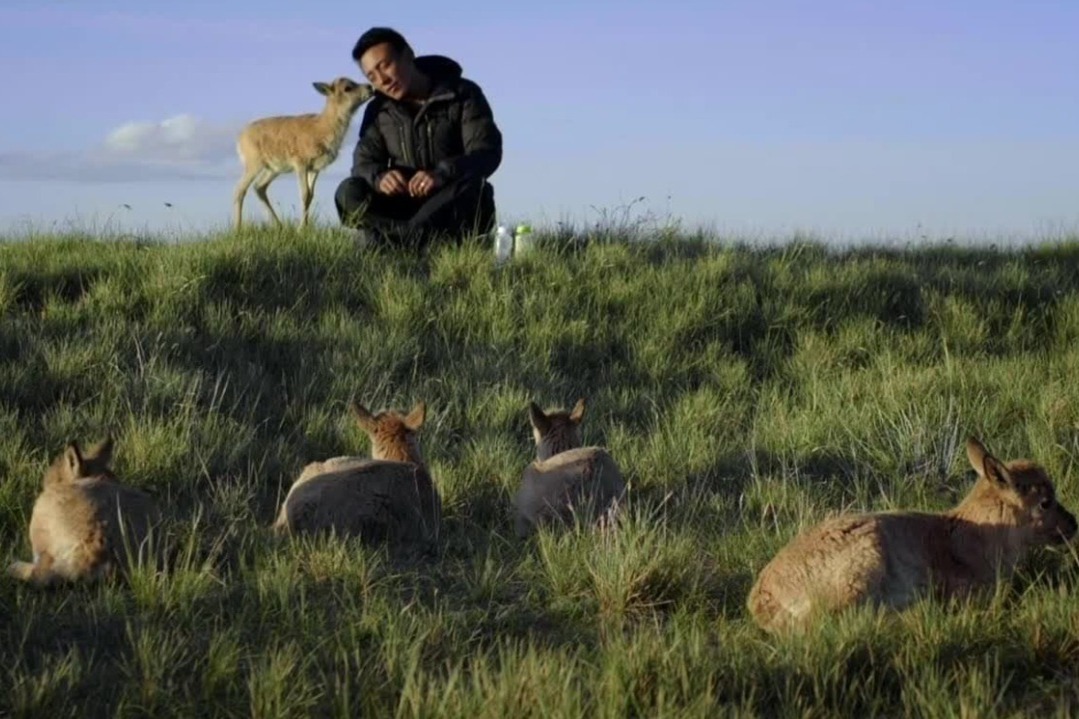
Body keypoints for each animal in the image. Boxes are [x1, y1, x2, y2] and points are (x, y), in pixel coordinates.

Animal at [231, 76, 375, 227]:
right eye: (347, 87)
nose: (370, 87)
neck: (322, 128)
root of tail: (240, 138)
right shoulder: (300, 164)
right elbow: (304, 193)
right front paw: (301, 228)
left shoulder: (315, 168)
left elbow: (311, 195)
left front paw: (306, 226)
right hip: (254, 165)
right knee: (239, 190)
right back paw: (238, 228)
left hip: (273, 169)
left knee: (259, 187)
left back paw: (279, 226)